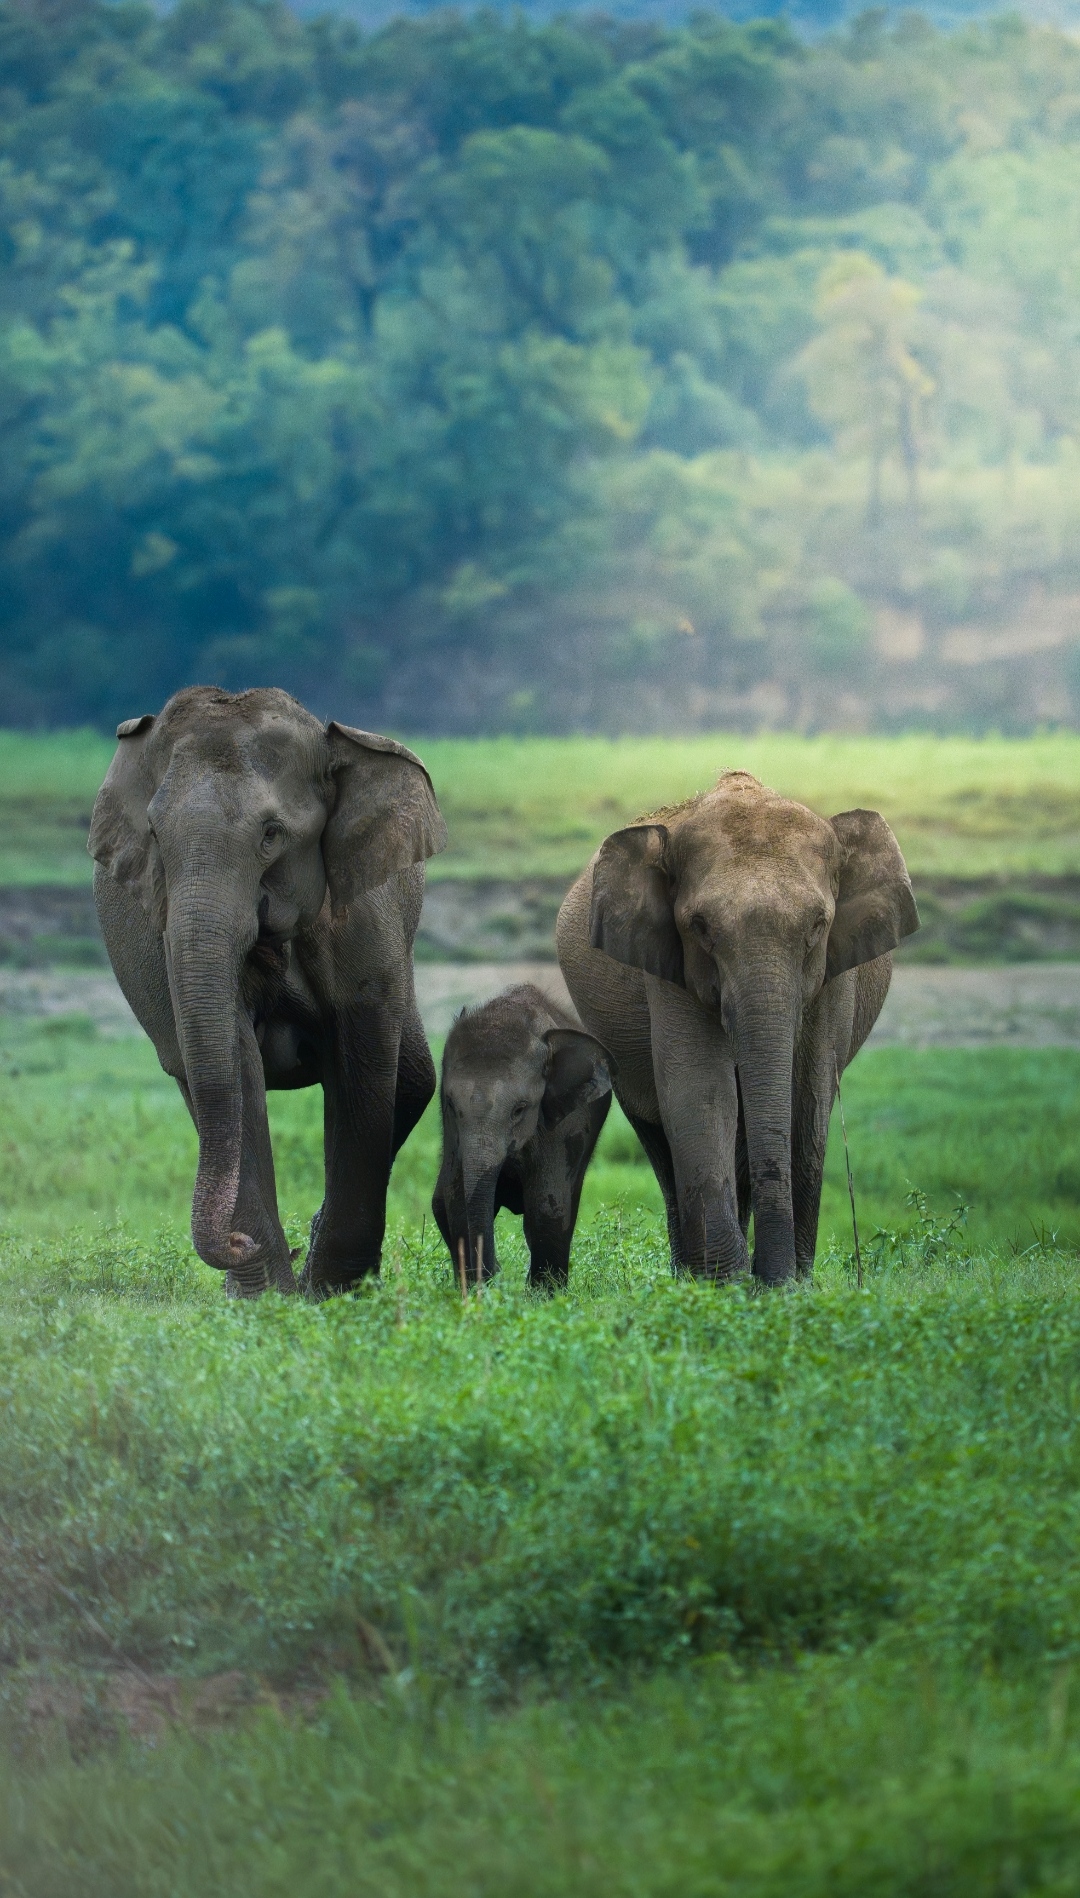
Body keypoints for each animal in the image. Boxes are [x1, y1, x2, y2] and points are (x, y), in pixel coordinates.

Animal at [88, 685, 447, 1298]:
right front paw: (268, 1301)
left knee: (414, 1079)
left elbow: (365, 1060)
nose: (236, 1244)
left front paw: (330, 1294)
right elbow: (234, 1061)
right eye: (155, 835)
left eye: (271, 834)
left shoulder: (363, 916)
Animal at [432, 984, 614, 1292]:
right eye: (451, 1105)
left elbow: (547, 1205)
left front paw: (545, 1296)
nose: (495, 1274)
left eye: (519, 1110)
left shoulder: (563, 1123)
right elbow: (455, 1198)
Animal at [556, 771, 919, 1287]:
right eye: (701, 926)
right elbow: (701, 1088)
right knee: (660, 1139)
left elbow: (808, 1096)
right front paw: (727, 1286)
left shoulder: (834, 969)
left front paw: (789, 1285)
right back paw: (689, 1275)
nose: (772, 1279)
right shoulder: (668, 961)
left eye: (818, 924)